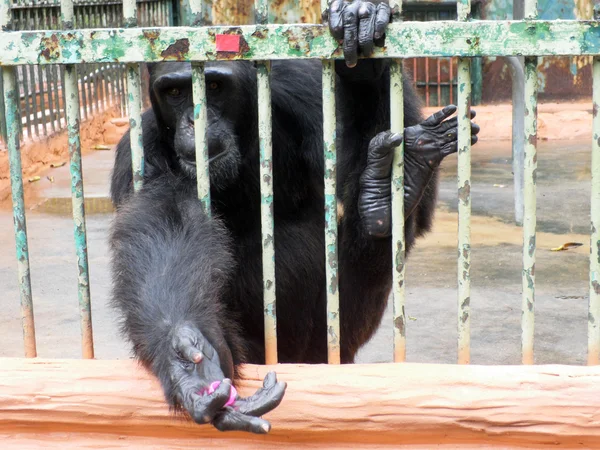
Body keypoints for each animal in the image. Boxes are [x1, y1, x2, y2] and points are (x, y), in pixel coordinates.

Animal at [110, 0, 480, 436]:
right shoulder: (142, 152)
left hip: (337, 342)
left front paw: (361, 29)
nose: (194, 121)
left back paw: (391, 189)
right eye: (173, 92)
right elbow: (165, 225)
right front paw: (188, 360)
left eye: (213, 87)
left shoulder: (304, 94)